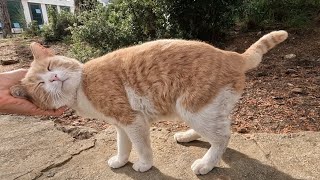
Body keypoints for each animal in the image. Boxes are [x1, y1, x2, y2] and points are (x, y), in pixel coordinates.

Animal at [11, 30, 288, 174]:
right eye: (40, 84)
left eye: (50, 66)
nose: (54, 77)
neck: (81, 86)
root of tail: (231, 55)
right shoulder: (120, 125)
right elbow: (123, 145)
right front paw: (120, 160)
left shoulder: (133, 120)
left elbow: (142, 146)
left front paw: (143, 164)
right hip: (204, 110)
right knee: (220, 130)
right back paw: (189, 136)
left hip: (192, 108)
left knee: (223, 137)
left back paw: (206, 164)